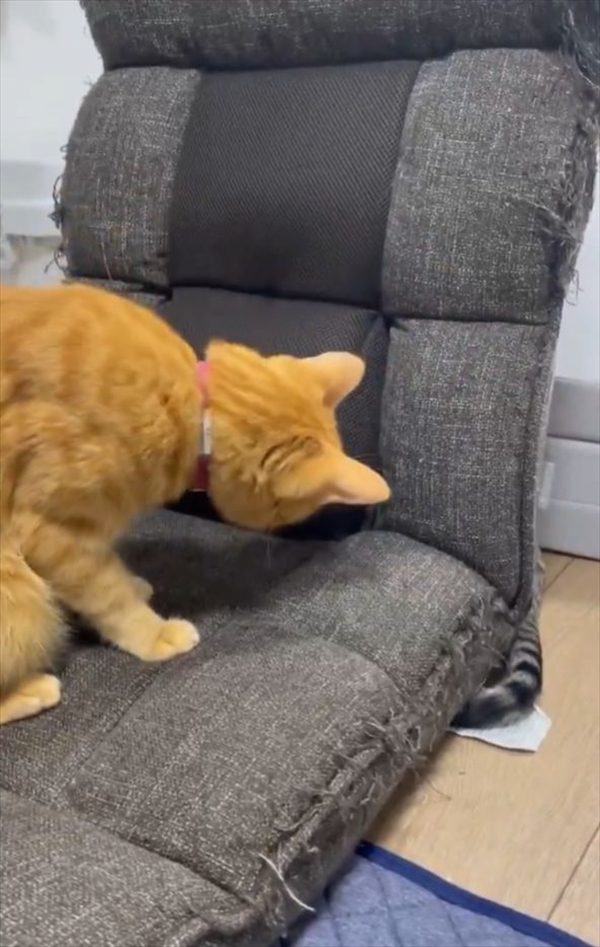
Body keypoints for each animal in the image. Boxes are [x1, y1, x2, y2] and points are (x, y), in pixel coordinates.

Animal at [0, 282, 389, 726]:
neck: (190, 406)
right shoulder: (50, 531)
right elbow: (107, 592)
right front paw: (153, 631)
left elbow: (109, 571)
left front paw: (133, 585)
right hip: (16, 587)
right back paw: (31, 689)